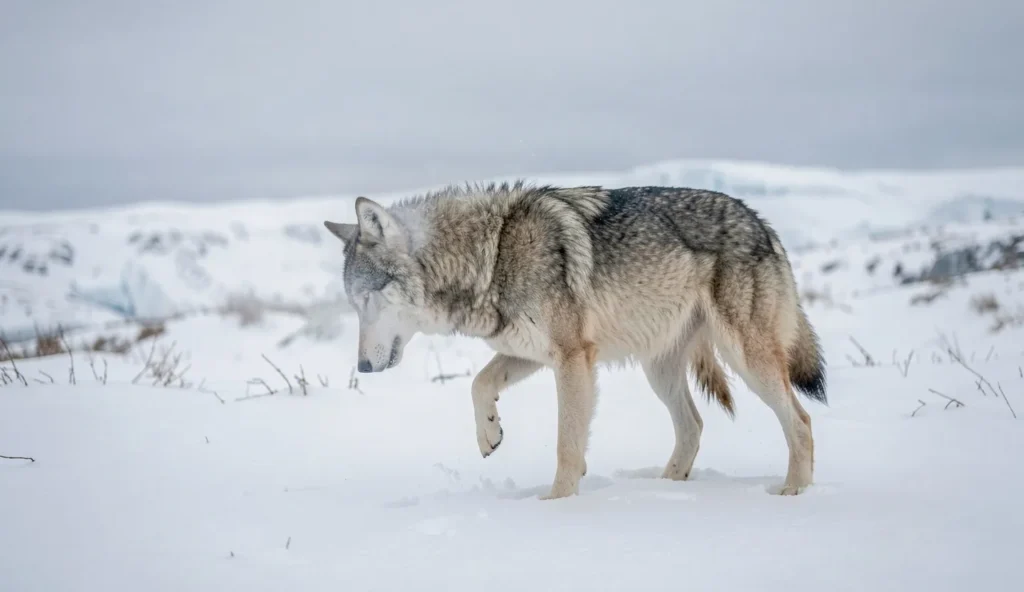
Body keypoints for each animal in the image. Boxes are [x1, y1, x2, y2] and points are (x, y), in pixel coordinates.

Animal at [323, 181, 827, 500]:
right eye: (352, 303)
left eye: (365, 299)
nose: (362, 368)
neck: (492, 256)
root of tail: (762, 222)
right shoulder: (530, 352)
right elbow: (479, 384)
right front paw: (490, 433)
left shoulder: (572, 358)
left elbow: (567, 443)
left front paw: (557, 505)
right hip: (659, 370)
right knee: (694, 426)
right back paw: (663, 489)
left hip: (747, 359)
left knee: (800, 421)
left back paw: (794, 491)